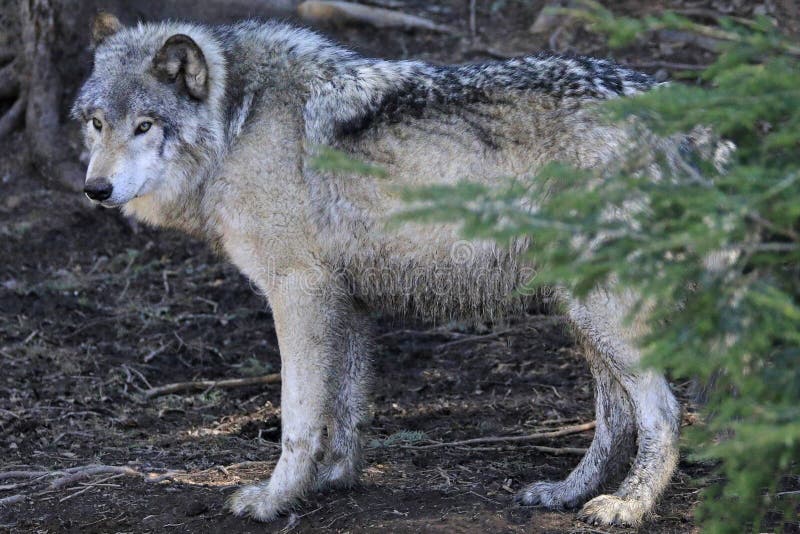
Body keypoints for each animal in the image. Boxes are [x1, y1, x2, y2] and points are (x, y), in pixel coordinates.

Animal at [72, 12, 682, 527]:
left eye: (145, 126)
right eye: (98, 124)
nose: (95, 189)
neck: (236, 124)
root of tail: (682, 121)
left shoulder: (299, 292)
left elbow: (298, 417)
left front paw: (275, 499)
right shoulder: (348, 302)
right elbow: (345, 407)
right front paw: (334, 480)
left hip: (602, 313)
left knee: (664, 414)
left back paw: (627, 507)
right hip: (581, 312)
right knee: (616, 416)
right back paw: (566, 493)